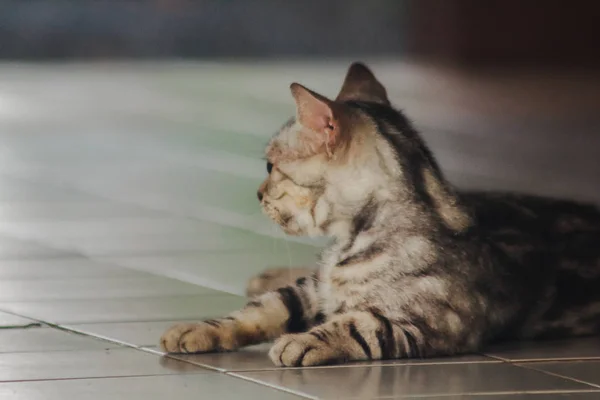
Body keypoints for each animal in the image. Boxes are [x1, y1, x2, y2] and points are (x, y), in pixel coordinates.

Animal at [158, 61, 600, 366]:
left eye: (270, 167)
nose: (257, 193)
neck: (346, 244)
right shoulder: (310, 291)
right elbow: (264, 308)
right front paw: (197, 328)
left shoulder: (427, 324)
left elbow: (359, 324)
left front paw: (303, 341)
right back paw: (266, 275)